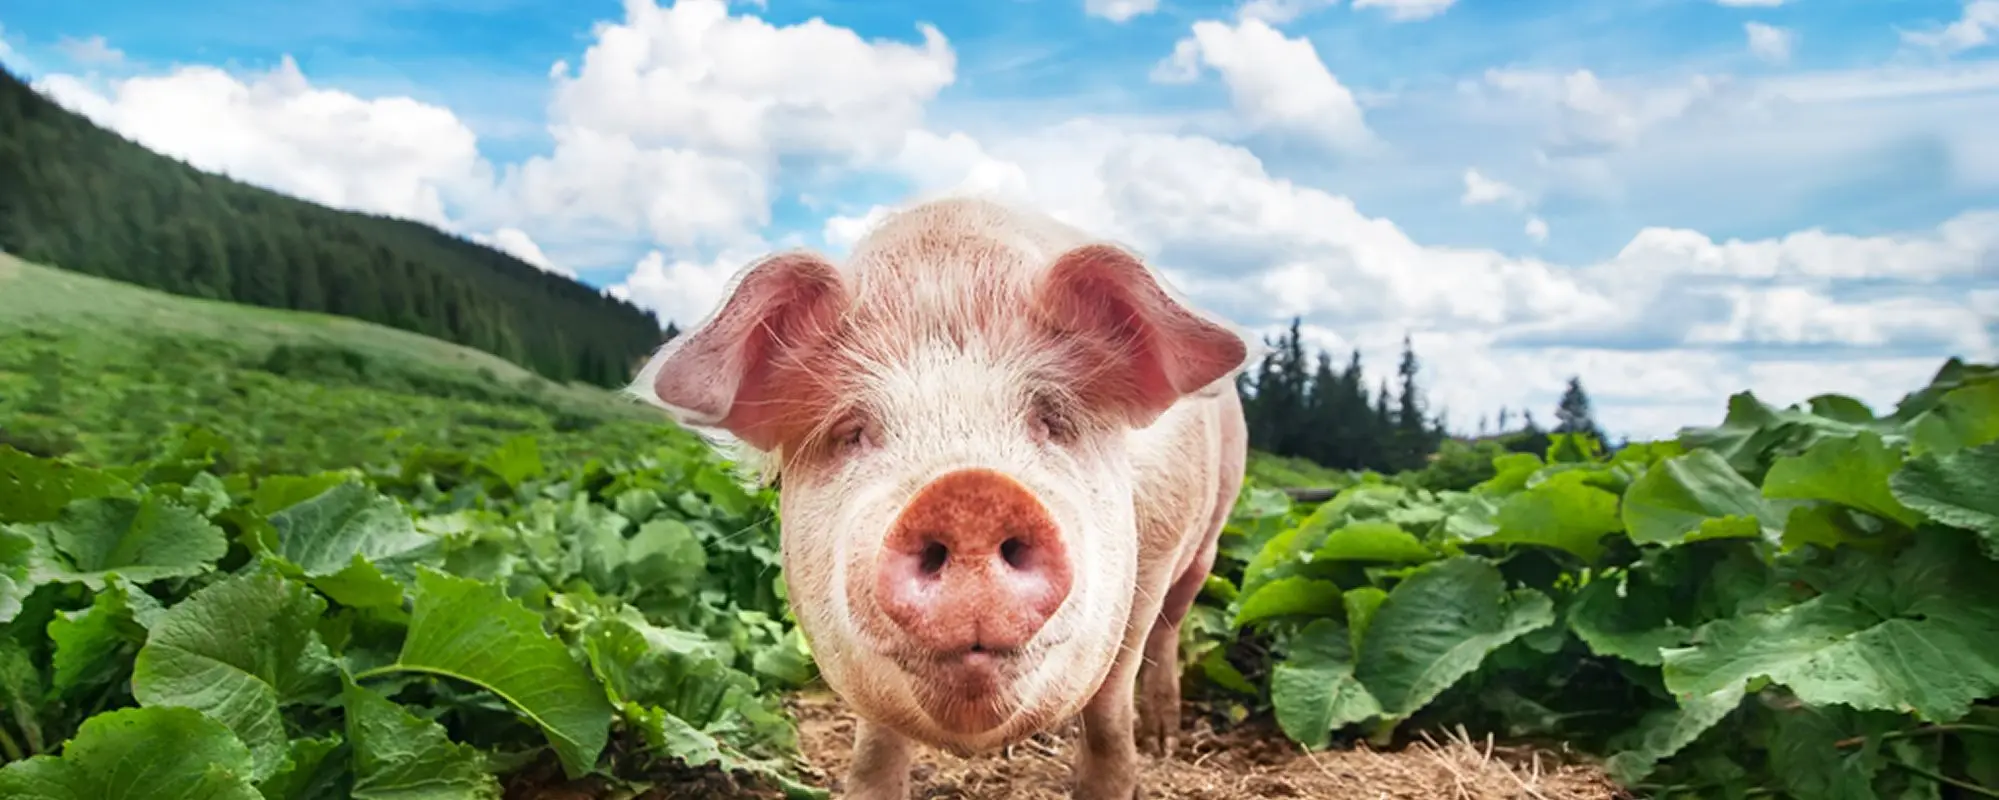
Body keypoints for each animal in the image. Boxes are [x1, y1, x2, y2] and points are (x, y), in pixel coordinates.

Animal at [629, 196, 1252, 799]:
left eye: (1053, 419)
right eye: (853, 431)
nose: (969, 493)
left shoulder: (1155, 557)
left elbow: (1108, 705)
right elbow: (877, 744)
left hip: (1208, 540)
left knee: (1171, 627)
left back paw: (1163, 740)